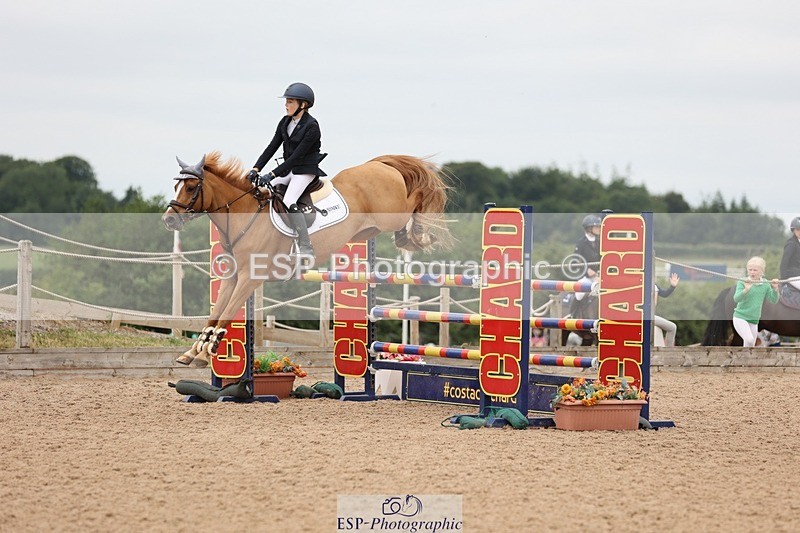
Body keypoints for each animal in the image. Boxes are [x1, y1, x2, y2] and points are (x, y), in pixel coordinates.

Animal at [162, 151, 452, 366]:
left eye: (191, 187)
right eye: (175, 185)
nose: (168, 220)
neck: (245, 217)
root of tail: (379, 165)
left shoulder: (249, 279)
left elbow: (225, 316)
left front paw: (204, 353)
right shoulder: (232, 278)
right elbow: (214, 315)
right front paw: (192, 352)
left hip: (391, 213)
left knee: (415, 200)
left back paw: (419, 231)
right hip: (371, 228)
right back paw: (408, 236)